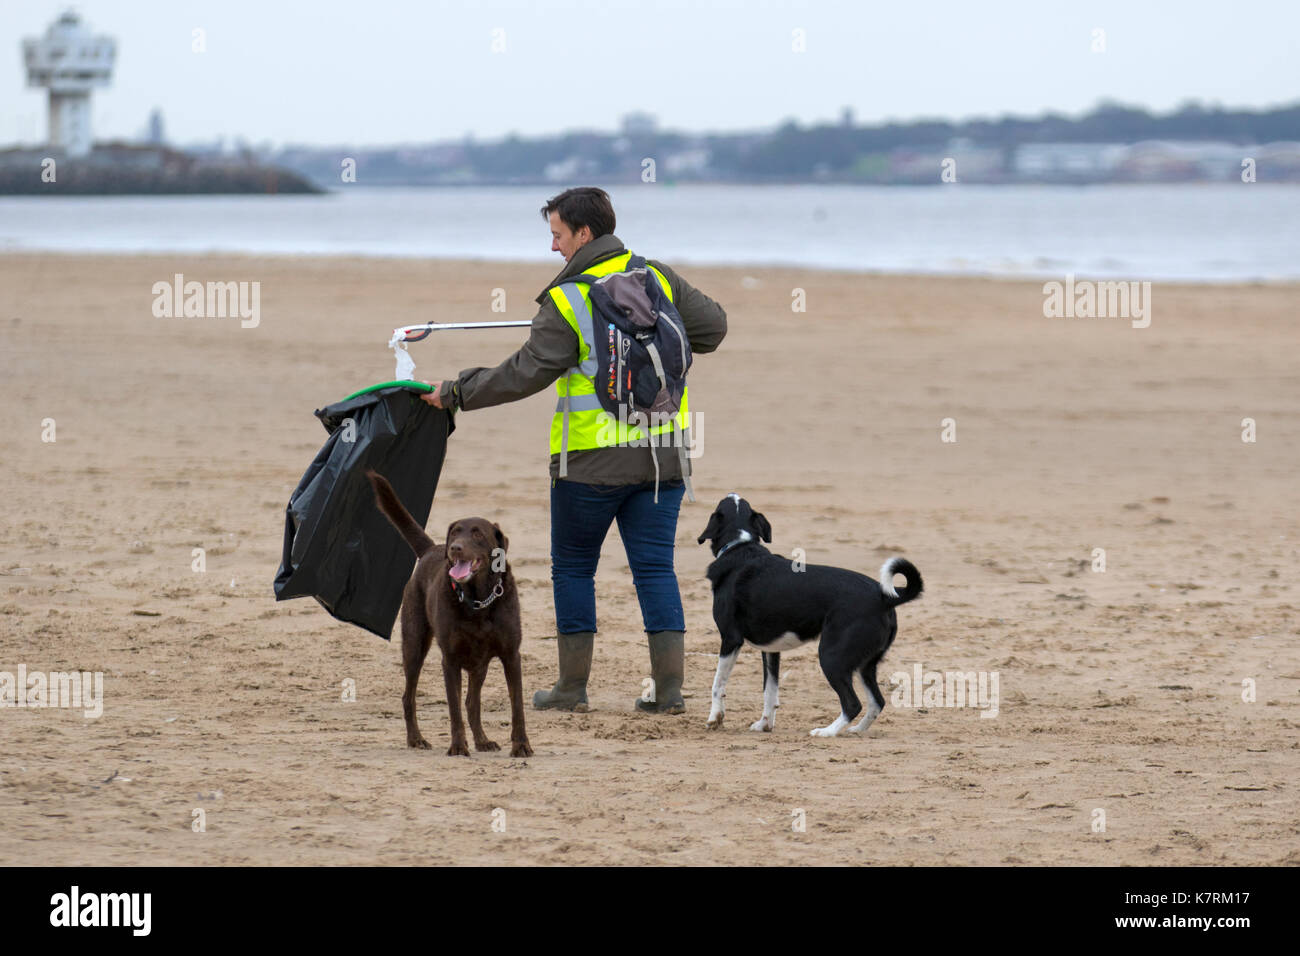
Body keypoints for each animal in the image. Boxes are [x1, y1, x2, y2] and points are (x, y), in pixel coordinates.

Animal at [364, 473, 530, 764]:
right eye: (455, 531)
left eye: (477, 533)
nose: (454, 548)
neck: (478, 600)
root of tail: (432, 549)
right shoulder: (450, 659)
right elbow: (454, 710)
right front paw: (458, 746)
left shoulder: (511, 654)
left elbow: (516, 705)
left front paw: (521, 746)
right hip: (415, 644)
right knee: (409, 696)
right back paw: (416, 739)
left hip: (479, 664)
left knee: (472, 703)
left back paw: (483, 741)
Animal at [702, 496, 925, 738]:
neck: (739, 546)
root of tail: (883, 596)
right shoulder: (771, 650)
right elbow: (770, 691)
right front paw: (765, 724)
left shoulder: (730, 639)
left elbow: (717, 684)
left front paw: (714, 718)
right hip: (864, 664)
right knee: (877, 702)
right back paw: (856, 730)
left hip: (831, 657)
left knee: (852, 703)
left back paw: (827, 731)